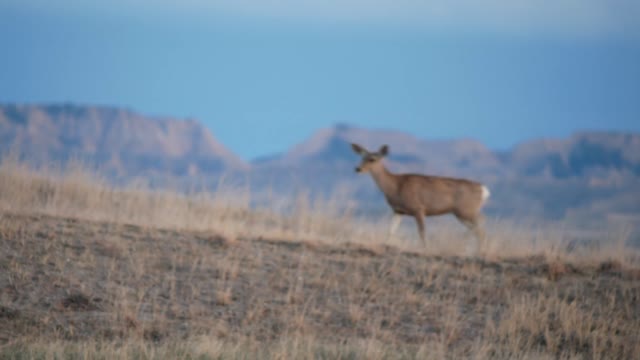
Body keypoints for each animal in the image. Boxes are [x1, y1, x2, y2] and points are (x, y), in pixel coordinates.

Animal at [352, 142, 492, 252]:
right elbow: (391, 230)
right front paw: (386, 245)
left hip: (466, 210)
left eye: (372, 159)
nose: (357, 168)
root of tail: (484, 190)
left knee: (481, 226)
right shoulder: (398, 210)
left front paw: (426, 249)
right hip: (462, 212)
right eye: (361, 157)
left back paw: (479, 251)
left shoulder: (418, 207)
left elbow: (422, 232)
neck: (395, 186)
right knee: (478, 227)